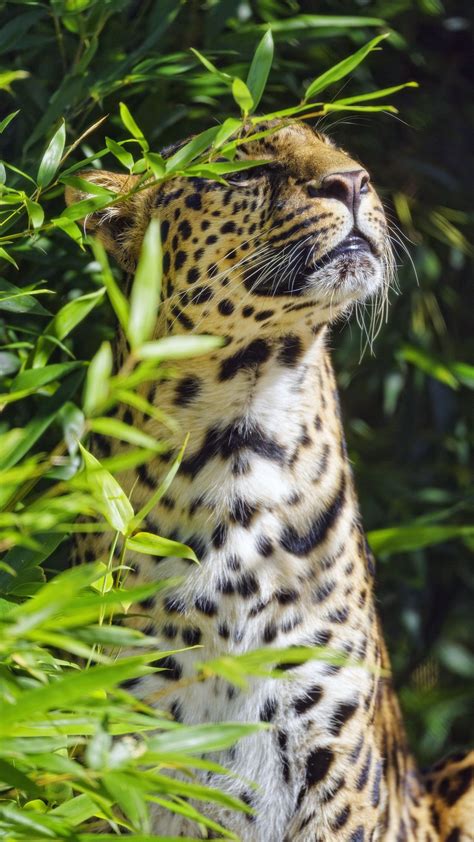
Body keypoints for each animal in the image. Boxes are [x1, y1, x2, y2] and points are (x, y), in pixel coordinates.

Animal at [67, 120, 474, 841]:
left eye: (344, 153)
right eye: (242, 168)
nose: (353, 182)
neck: (241, 439)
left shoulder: (332, 760)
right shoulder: (115, 743)